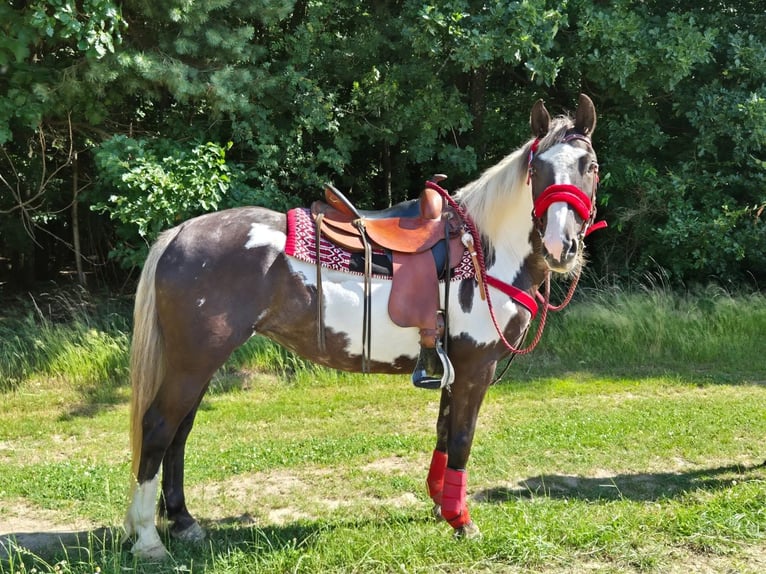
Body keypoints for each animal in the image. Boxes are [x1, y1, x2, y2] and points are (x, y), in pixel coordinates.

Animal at [123, 94, 601, 559]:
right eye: (537, 170)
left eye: (589, 165)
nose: (560, 247)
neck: (482, 251)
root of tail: (180, 233)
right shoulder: (475, 367)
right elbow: (462, 438)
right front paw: (462, 522)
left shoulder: (452, 367)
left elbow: (444, 433)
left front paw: (440, 505)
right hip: (193, 363)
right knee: (159, 428)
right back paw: (147, 538)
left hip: (198, 363)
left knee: (179, 433)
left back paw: (183, 522)